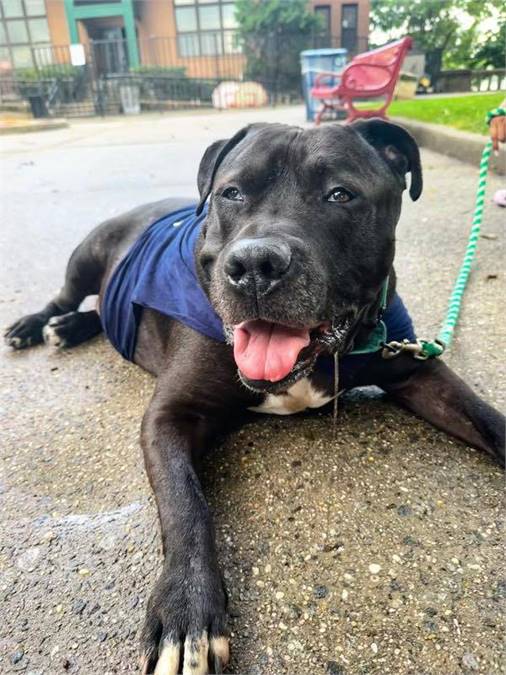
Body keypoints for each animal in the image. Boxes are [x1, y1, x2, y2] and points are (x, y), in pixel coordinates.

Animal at [5, 119, 504, 672]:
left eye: (340, 194)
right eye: (232, 193)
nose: (255, 264)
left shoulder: (417, 367)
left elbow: (487, 418)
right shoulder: (169, 415)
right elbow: (186, 504)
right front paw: (187, 611)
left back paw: (70, 328)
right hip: (87, 255)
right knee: (64, 296)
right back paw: (38, 325)